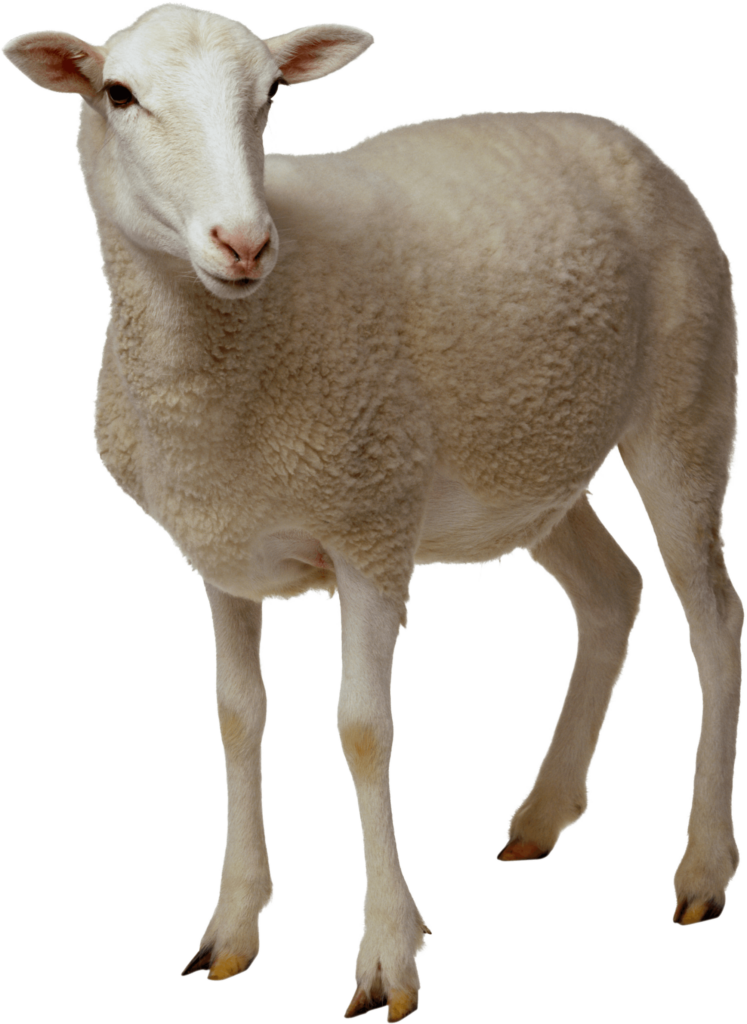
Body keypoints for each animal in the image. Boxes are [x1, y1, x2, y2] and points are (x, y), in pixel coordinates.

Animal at [3, 2, 742, 1017]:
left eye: (270, 98)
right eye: (117, 94)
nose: (243, 243)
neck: (233, 348)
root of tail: (614, 132)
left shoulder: (371, 529)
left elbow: (361, 729)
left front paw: (388, 955)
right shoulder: (220, 547)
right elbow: (236, 715)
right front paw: (231, 927)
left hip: (686, 399)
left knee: (712, 618)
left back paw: (702, 867)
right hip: (530, 463)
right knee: (611, 592)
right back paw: (543, 814)